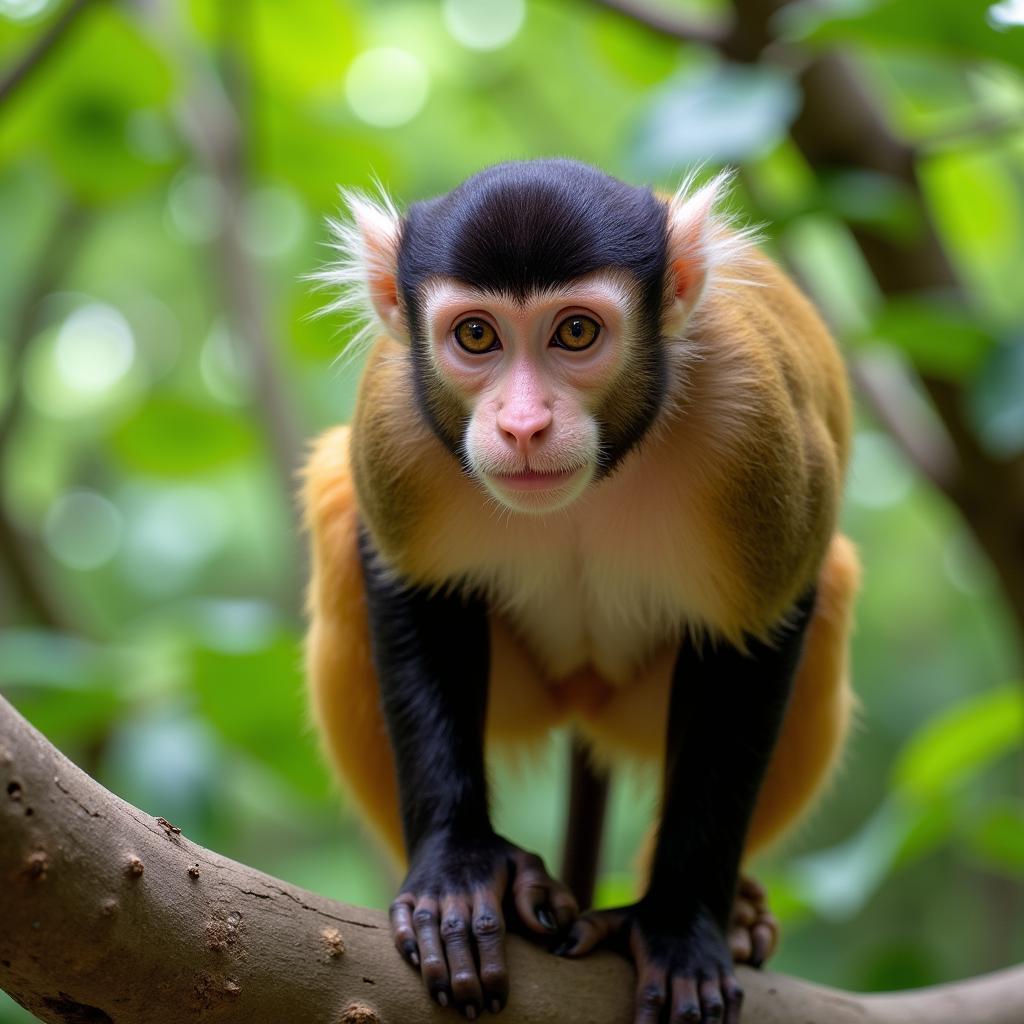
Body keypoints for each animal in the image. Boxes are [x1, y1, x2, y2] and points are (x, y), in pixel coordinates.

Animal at [301, 157, 856, 1024]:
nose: (524, 425)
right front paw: (457, 872)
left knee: (829, 579)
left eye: (575, 333)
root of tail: (583, 697)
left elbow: (767, 622)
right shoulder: (396, 424)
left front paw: (681, 924)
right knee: (335, 511)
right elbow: (408, 583)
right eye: (476, 335)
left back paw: (732, 912)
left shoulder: (754, 431)